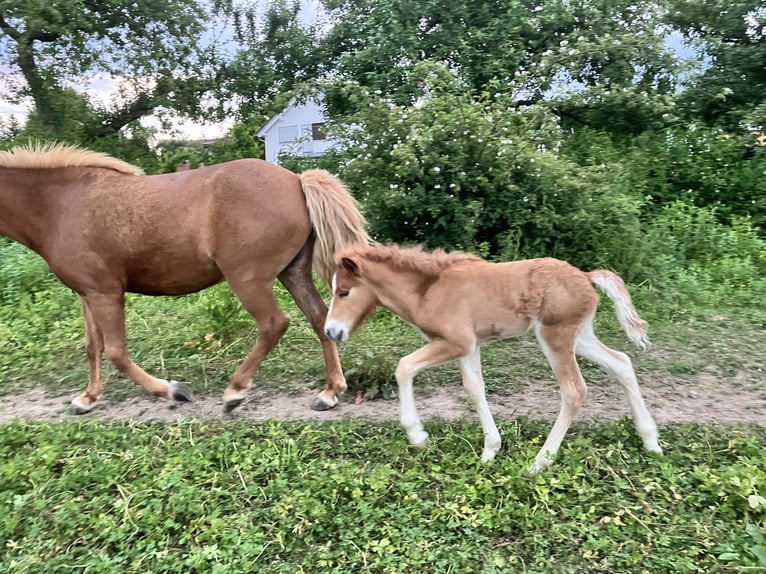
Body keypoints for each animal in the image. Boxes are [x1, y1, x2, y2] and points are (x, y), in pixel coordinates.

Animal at [0, 142, 369, 415]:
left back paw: (235, 391)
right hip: (291, 272)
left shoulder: (105, 293)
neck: (60, 203)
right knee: (319, 319)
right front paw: (87, 399)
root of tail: (296, 180)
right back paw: (330, 392)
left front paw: (173, 390)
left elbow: (117, 352)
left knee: (273, 325)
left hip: (248, 279)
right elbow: (93, 347)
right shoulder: (86, 293)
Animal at [323, 244, 662, 473]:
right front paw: (490, 451)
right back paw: (651, 441)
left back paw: (540, 462)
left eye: (344, 292)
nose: (330, 330)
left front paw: (417, 436)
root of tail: (585, 275)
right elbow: (475, 390)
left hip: (556, 336)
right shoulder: (469, 346)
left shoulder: (454, 342)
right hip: (581, 336)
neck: (427, 290)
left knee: (574, 390)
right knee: (621, 363)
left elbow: (404, 367)